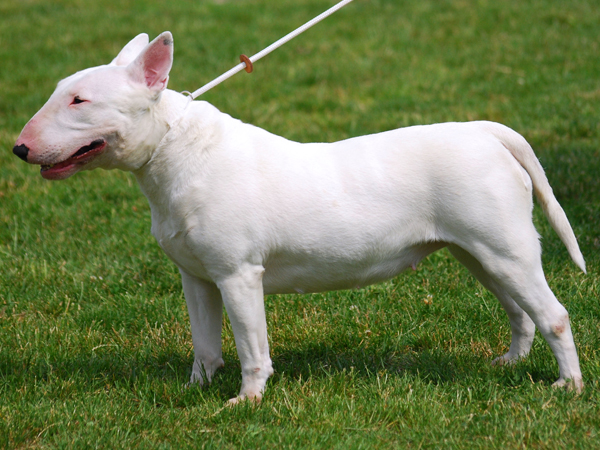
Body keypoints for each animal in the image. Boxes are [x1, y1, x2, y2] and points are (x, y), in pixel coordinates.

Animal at [12, 33, 584, 402]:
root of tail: (487, 131)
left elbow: (252, 347)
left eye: (79, 100)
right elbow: (204, 343)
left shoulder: (239, 274)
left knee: (552, 314)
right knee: (519, 312)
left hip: (505, 248)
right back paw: (509, 363)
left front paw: (246, 401)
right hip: (479, 253)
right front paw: (195, 389)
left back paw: (568, 387)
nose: (19, 148)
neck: (177, 151)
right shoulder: (197, 277)